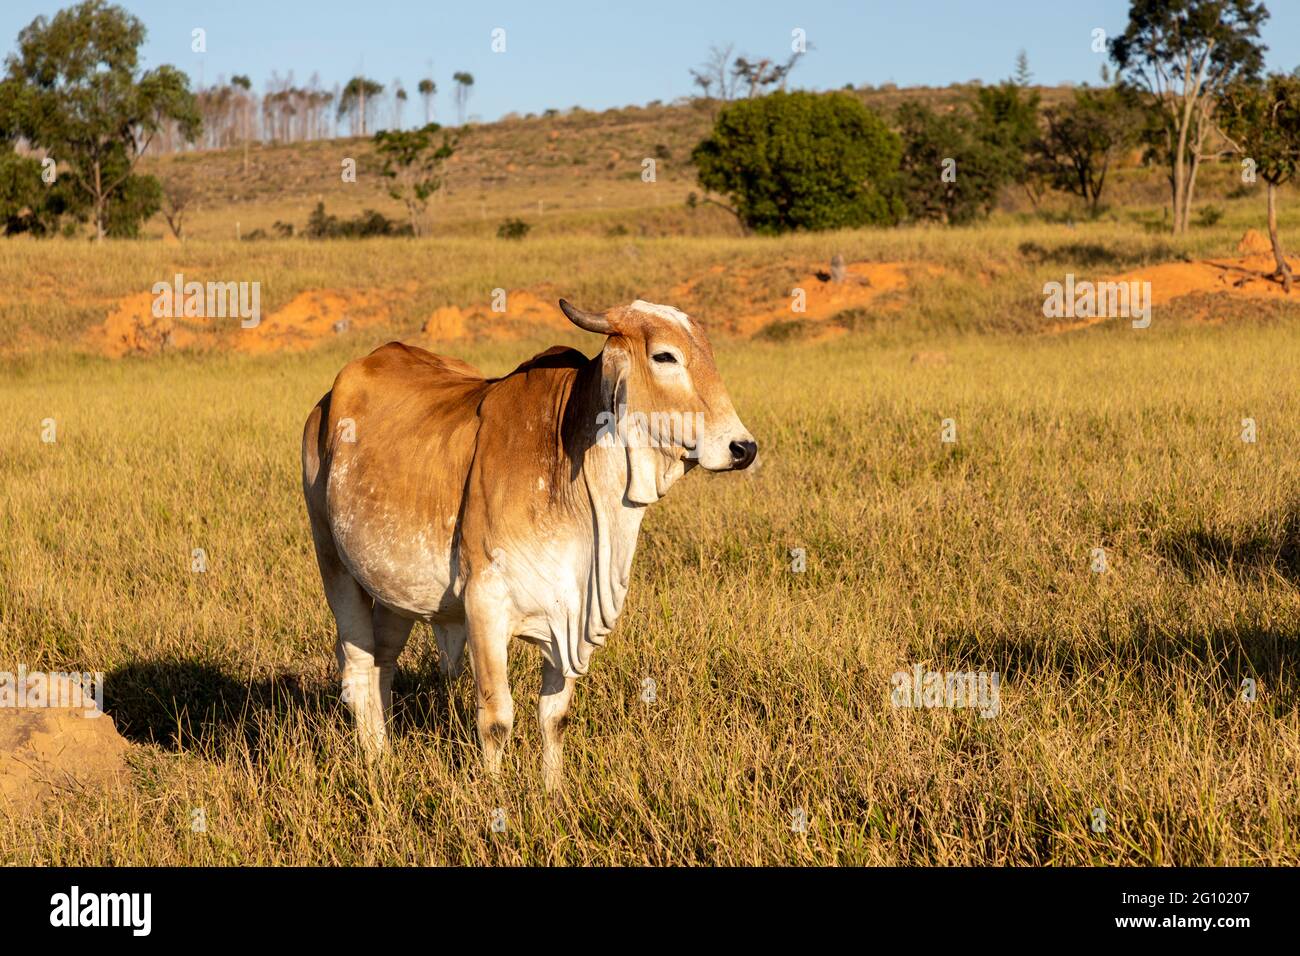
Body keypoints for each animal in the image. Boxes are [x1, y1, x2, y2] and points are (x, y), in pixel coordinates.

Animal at [300, 299, 759, 790]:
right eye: (665, 357)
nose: (743, 448)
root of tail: (327, 401)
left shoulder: (572, 613)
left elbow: (554, 717)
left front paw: (552, 790)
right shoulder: (484, 604)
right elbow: (496, 719)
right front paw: (494, 792)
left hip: (395, 590)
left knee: (382, 666)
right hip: (334, 564)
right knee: (357, 670)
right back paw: (376, 762)